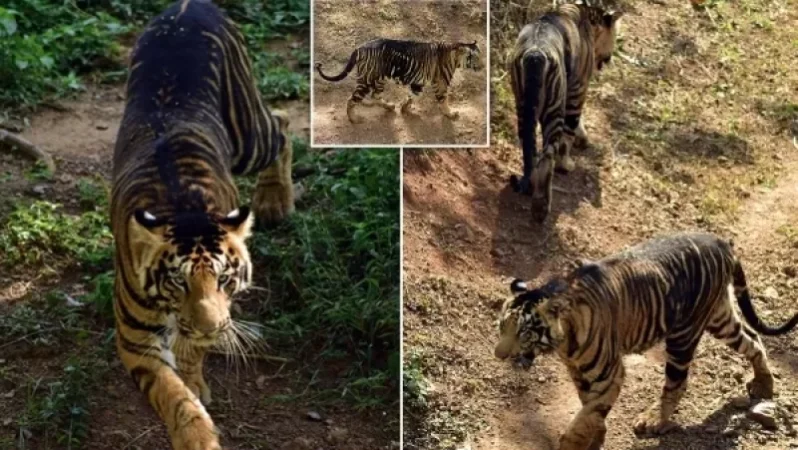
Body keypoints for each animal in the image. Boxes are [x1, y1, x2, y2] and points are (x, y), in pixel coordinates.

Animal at [110, 1, 295, 448]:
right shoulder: (135, 338)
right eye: (178, 282)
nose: (212, 329)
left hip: (249, 138)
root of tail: (190, 4)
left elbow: (190, 353)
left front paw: (194, 378)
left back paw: (274, 200)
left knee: (282, 124)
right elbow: (171, 394)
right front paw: (195, 432)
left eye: (225, 279)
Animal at [314, 38, 482, 123]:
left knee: (375, 96)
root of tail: (360, 47)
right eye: (474, 57)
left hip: (379, 80)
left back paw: (389, 106)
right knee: (351, 99)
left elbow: (413, 96)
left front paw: (404, 108)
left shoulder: (418, 83)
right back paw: (354, 119)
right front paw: (451, 114)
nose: (483, 66)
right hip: (367, 80)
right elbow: (443, 101)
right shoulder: (440, 84)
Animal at [494, 232, 798, 450]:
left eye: (523, 332)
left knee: (677, 382)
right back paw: (764, 384)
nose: (499, 354)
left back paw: (654, 421)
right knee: (753, 339)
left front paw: (579, 441)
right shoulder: (578, 371)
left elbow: (585, 416)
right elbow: (588, 407)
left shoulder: (609, 373)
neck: (564, 343)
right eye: (502, 326)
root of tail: (721, 241)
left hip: (684, 335)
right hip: (720, 318)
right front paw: (598, 434)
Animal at [507, 0, 622, 223]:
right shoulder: (578, 88)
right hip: (552, 109)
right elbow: (570, 129)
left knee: (529, 147)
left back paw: (531, 185)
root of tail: (535, 53)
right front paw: (567, 163)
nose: (608, 59)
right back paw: (541, 207)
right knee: (548, 155)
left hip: (522, 106)